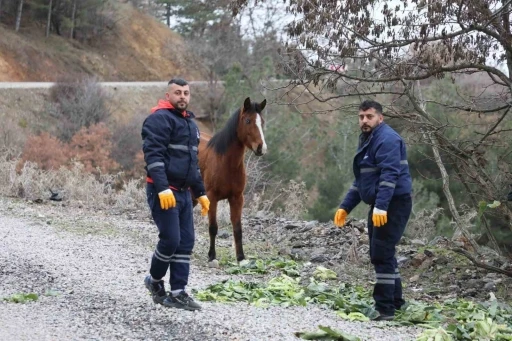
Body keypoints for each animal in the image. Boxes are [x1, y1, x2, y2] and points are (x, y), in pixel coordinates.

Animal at [197, 97, 266, 264]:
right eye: (248, 120)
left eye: (262, 122)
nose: (261, 148)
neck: (225, 163)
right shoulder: (212, 197)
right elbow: (213, 227)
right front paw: (212, 255)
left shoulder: (237, 198)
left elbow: (237, 228)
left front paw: (241, 257)